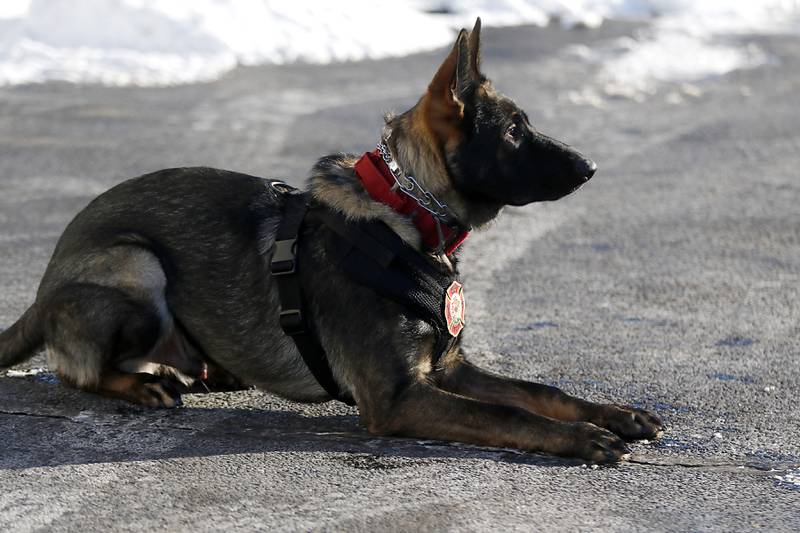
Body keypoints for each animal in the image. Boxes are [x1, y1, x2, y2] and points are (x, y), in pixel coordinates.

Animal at [0, 19, 664, 462]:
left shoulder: (451, 368)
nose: (592, 167)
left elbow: (537, 391)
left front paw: (614, 414)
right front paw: (582, 438)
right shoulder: (400, 398)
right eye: (515, 132)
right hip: (137, 265)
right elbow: (507, 413)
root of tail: (41, 290)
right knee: (76, 373)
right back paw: (144, 384)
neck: (407, 212)